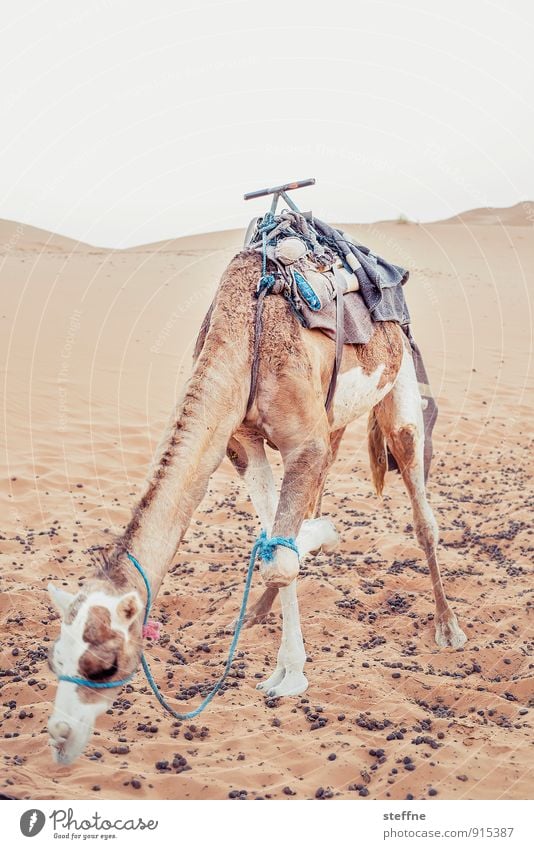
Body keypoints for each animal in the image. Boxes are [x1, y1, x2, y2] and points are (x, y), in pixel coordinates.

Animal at [46, 248, 466, 764]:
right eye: (56, 658)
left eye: (104, 664)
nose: (60, 735)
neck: (245, 338)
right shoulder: (242, 442)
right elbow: (275, 542)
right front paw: (285, 665)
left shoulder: (302, 441)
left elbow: (281, 557)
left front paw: (292, 673)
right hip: (335, 418)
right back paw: (256, 611)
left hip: (399, 383)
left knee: (420, 506)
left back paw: (447, 627)